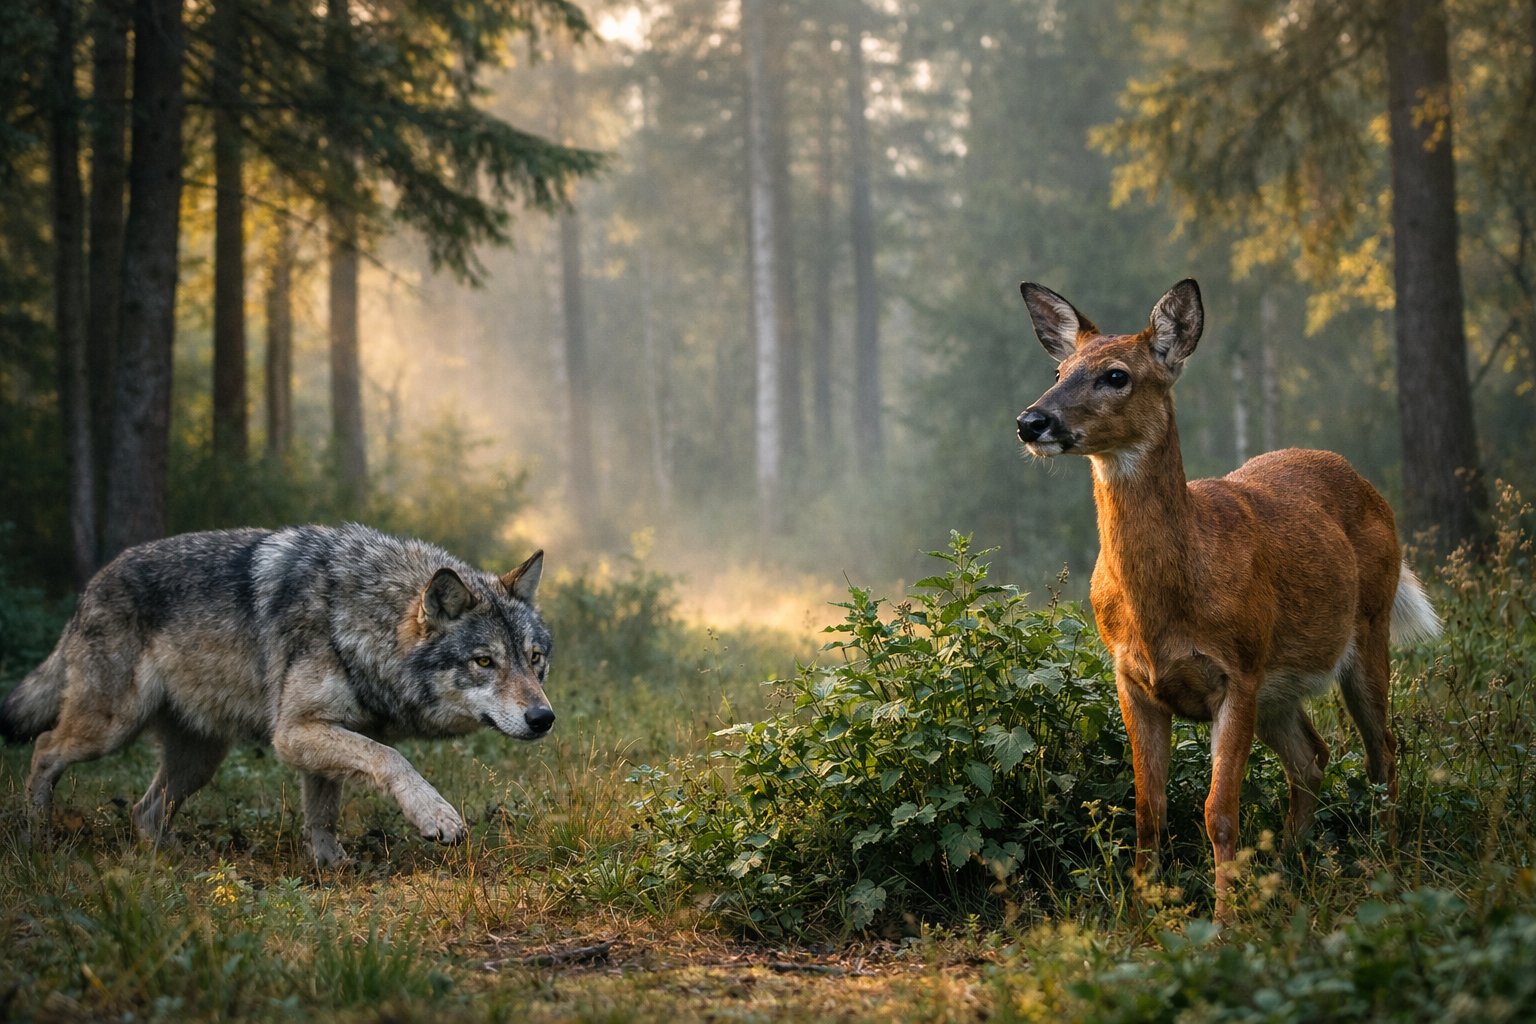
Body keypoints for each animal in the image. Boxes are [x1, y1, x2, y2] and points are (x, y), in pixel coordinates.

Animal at [0, 523, 554, 865]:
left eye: (534, 659)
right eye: (484, 662)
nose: (543, 718)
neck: (359, 619)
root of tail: (92, 585)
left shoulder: (325, 733)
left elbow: (323, 813)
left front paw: (333, 867)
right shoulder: (294, 733)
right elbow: (391, 758)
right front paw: (436, 816)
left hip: (199, 761)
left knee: (144, 810)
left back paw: (173, 860)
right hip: (111, 728)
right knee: (44, 749)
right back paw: (36, 837)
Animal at [1014, 279, 1441, 919]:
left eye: (1116, 375)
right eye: (1059, 369)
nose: (1030, 421)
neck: (1167, 602)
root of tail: (1361, 480)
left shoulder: (1237, 671)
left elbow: (1219, 812)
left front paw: (1224, 922)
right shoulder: (1131, 679)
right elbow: (1148, 810)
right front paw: (1143, 915)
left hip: (1366, 632)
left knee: (1382, 750)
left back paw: (1386, 869)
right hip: (1278, 688)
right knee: (1311, 758)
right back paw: (1290, 868)